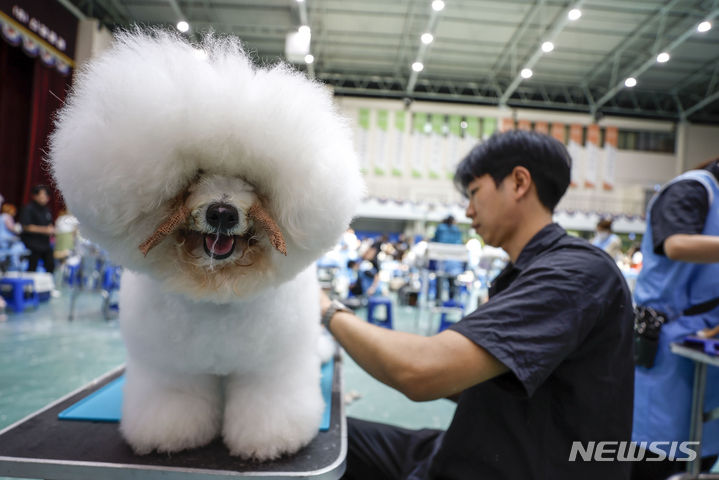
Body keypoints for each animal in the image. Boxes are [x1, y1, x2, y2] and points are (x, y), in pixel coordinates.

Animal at [50, 31, 362, 462]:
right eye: (196, 175)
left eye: (250, 181)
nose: (222, 213)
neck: (217, 291)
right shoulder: (173, 368)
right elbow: (175, 400)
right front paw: (168, 434)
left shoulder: (269, 368)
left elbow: (268, 404)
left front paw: (270, 441)